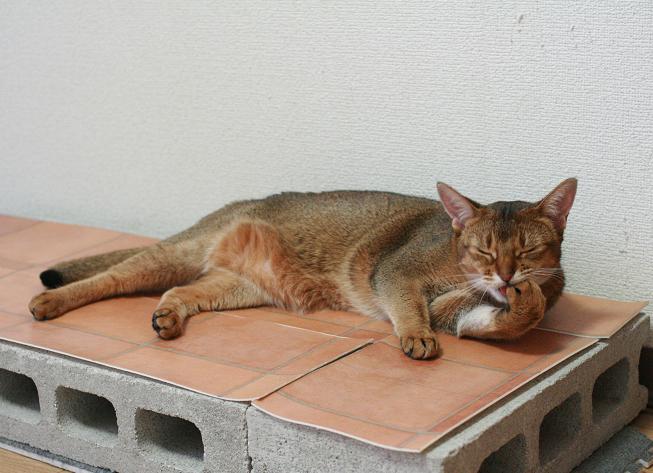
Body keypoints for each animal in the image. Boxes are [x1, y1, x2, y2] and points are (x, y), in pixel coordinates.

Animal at [28, 178, 576, 360]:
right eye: (484, 251)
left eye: (526, 252)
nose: (506, 275)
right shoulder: (397, 272)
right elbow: (408, 308)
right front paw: (417, 337)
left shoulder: (455, 311)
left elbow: (501, 319)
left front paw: (527, 301)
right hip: (178, 253)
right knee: (111, 277)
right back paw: (48, 300)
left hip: (235, 287)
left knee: (181, 292)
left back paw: (168, 318)